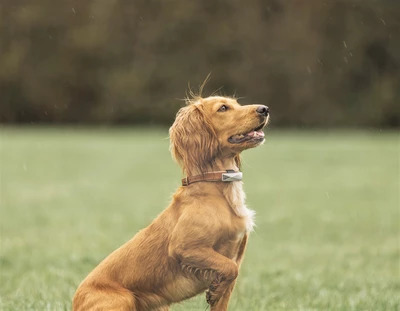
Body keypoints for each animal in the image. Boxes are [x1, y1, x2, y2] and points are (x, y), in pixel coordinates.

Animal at [73, 96, 270, 310]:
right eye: (223, 108)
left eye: (235, 103)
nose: (264, 109)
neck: (219, 189)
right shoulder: (184, 247)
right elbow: (230, 267)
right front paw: (214, 290)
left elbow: (229, 278)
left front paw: (216, 291)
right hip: (123, 299)